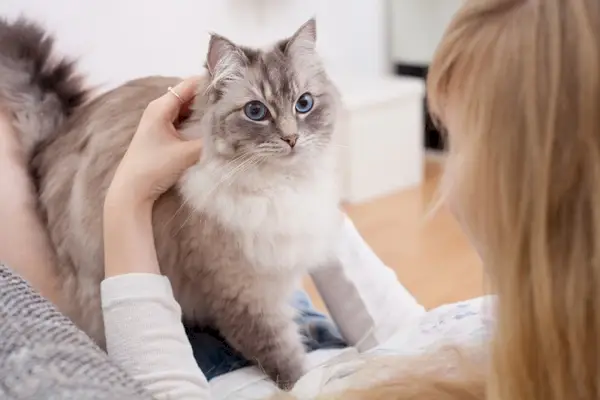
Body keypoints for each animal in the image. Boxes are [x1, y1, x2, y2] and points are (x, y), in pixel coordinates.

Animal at [0, 16, 342, 388]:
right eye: (256, 112)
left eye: (304, 104)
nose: (292, 139)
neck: (278, 185)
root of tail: (48, 145)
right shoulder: (248, 298)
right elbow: (288, 364)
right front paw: (308, 380)